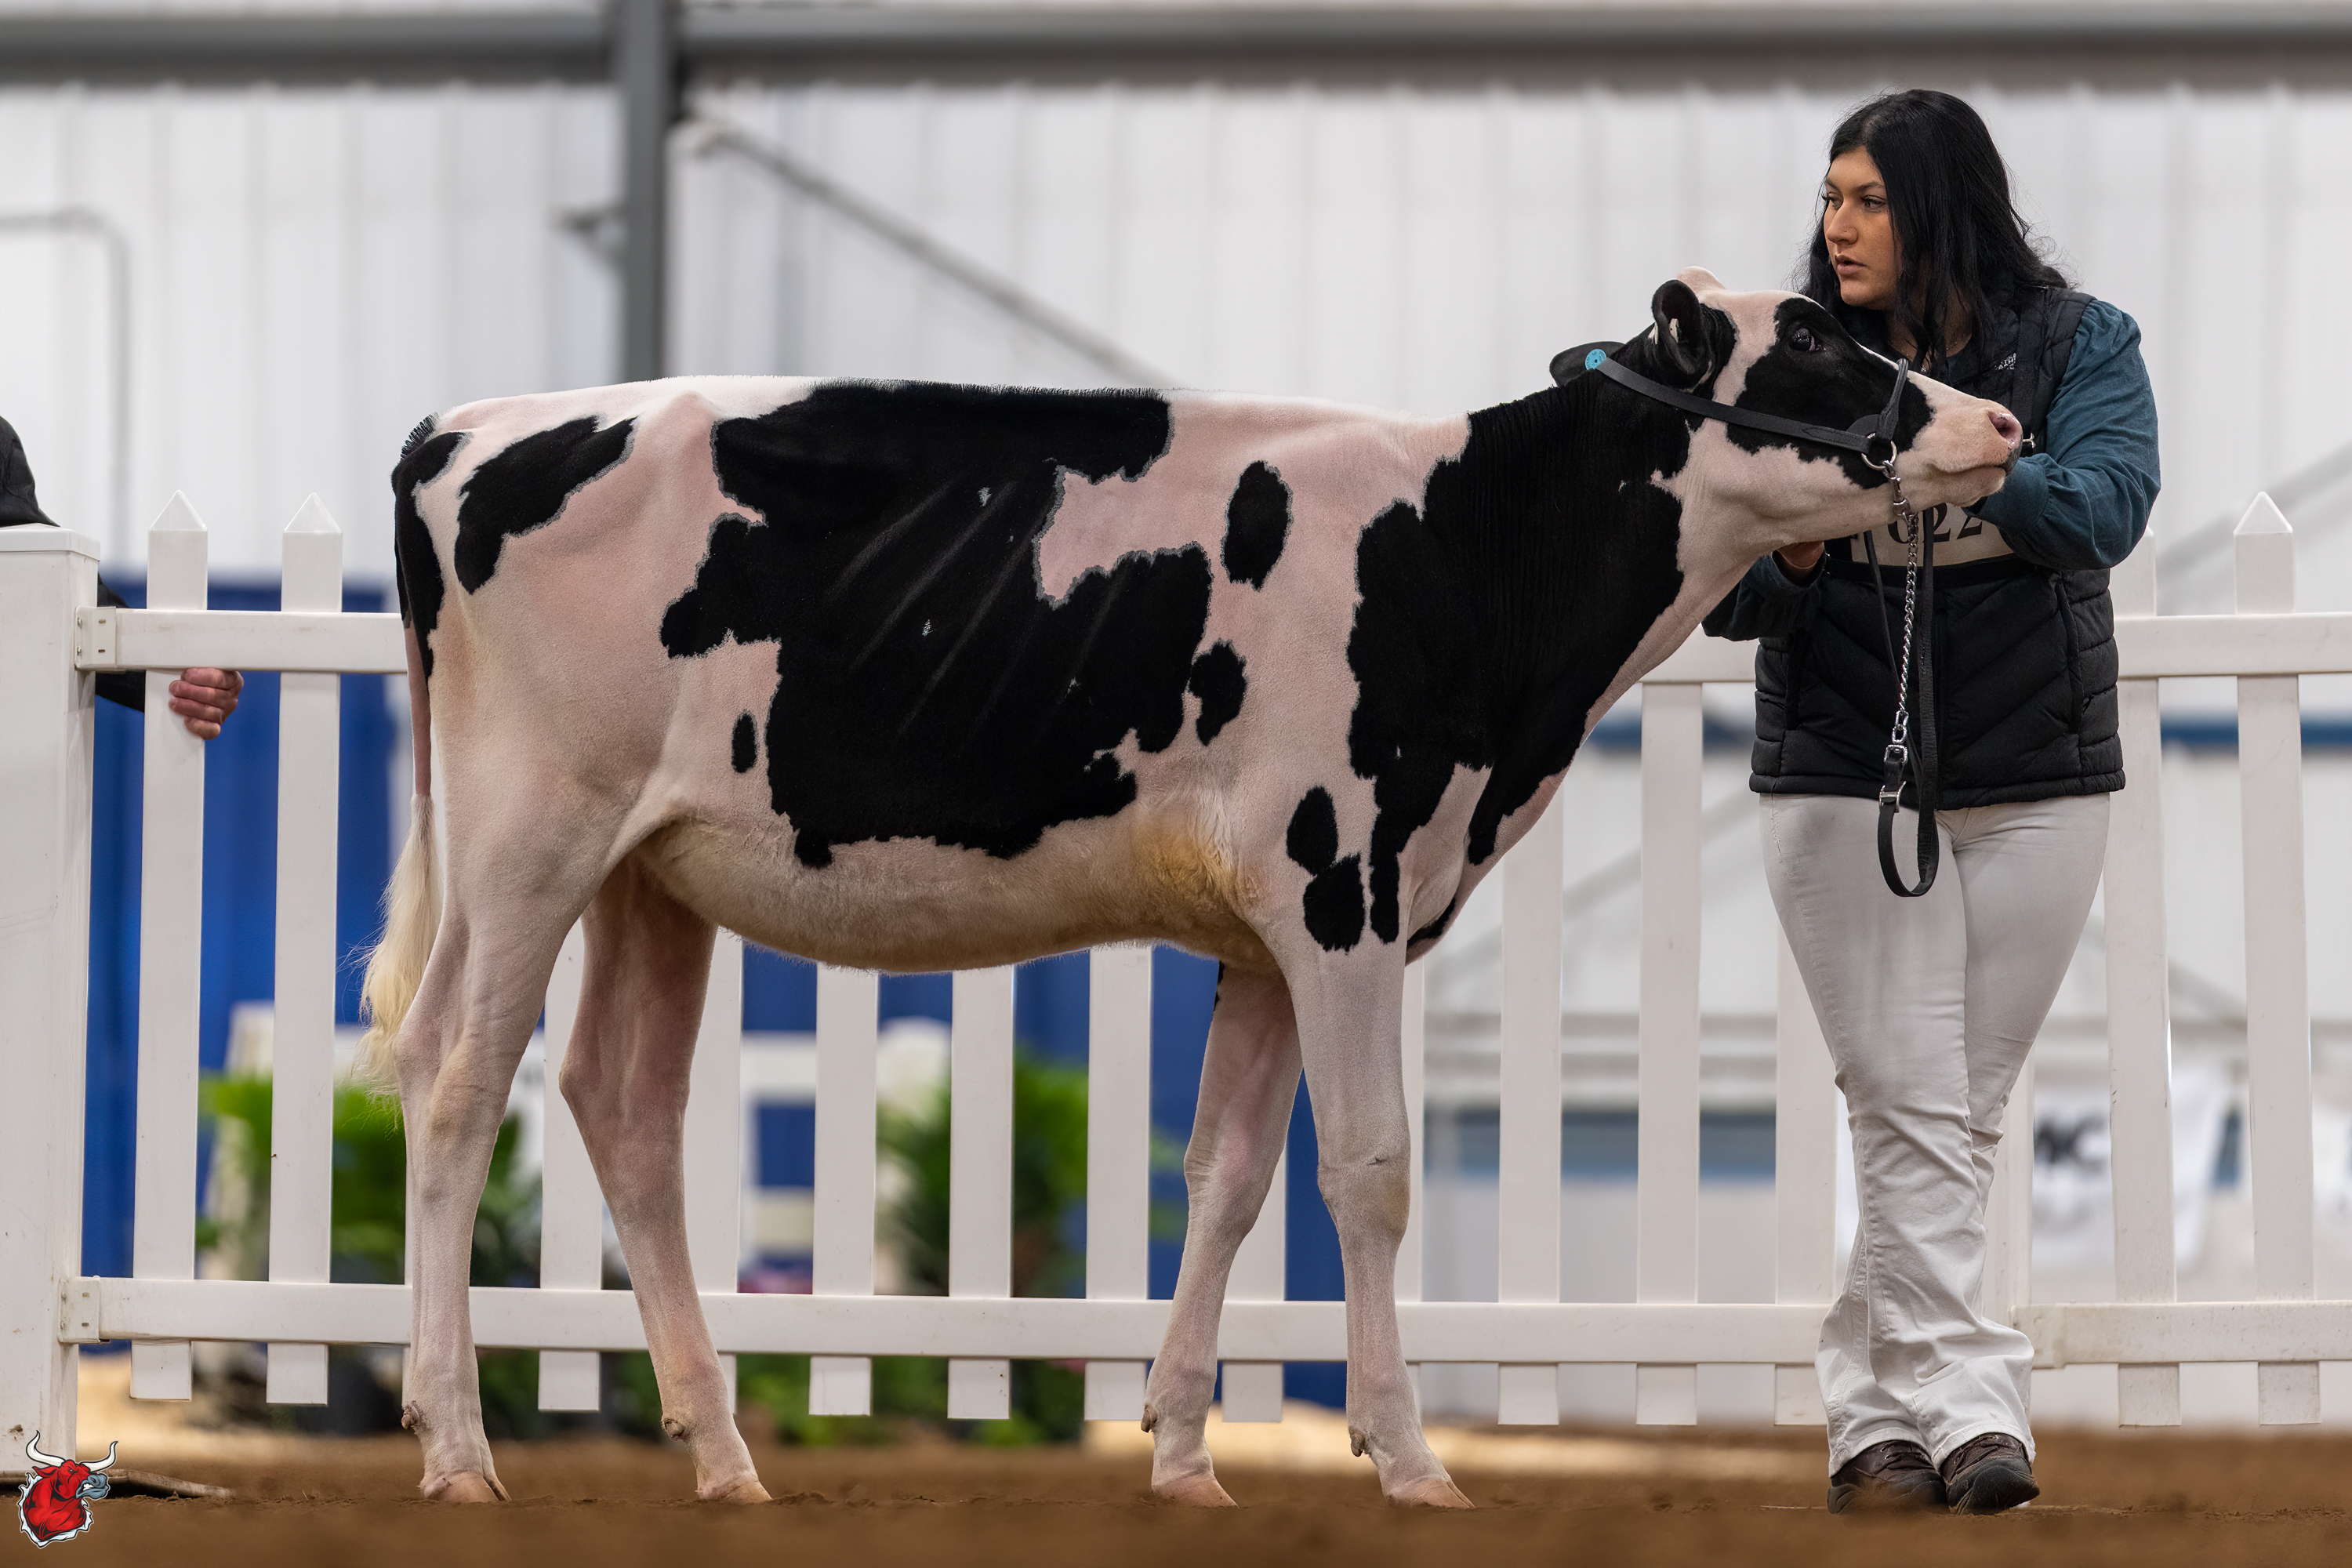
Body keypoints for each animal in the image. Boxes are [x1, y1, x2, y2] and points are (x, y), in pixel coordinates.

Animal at [357, 267, 2020, 1508]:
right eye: (1814, 340)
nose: (1996, 416)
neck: (1467, 555)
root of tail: (466, 426)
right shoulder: (1346, 887)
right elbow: (1368, 1169)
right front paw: (1409, 1461)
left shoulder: (1267, 935)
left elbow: (1227, 1176)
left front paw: (1181, 1458)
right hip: (528, 839)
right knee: (454, 1081)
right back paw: (456, 1447)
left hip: (655, 871)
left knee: (622, 1107)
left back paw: (721, 1458)